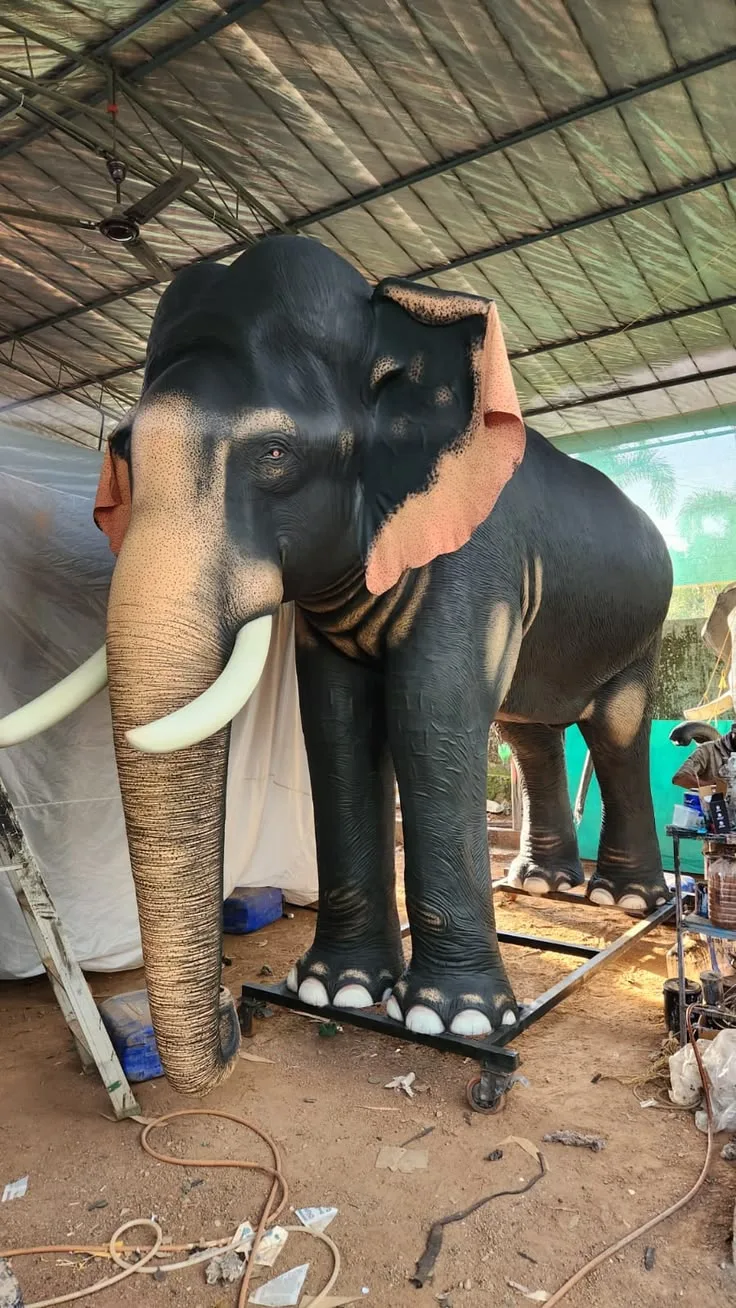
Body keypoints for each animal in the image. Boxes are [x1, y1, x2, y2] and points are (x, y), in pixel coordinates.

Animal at [0, 235, 674, 1096]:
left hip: (644, 625)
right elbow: (335, 718)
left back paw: (627, 902)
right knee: (530, 730)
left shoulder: (475, 556)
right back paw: (543, 885)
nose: (232, 1019)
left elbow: (428, 711)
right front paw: (335, 991)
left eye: (275, 454)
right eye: (122, 457)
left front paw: (455, 1024)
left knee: (616, 725)